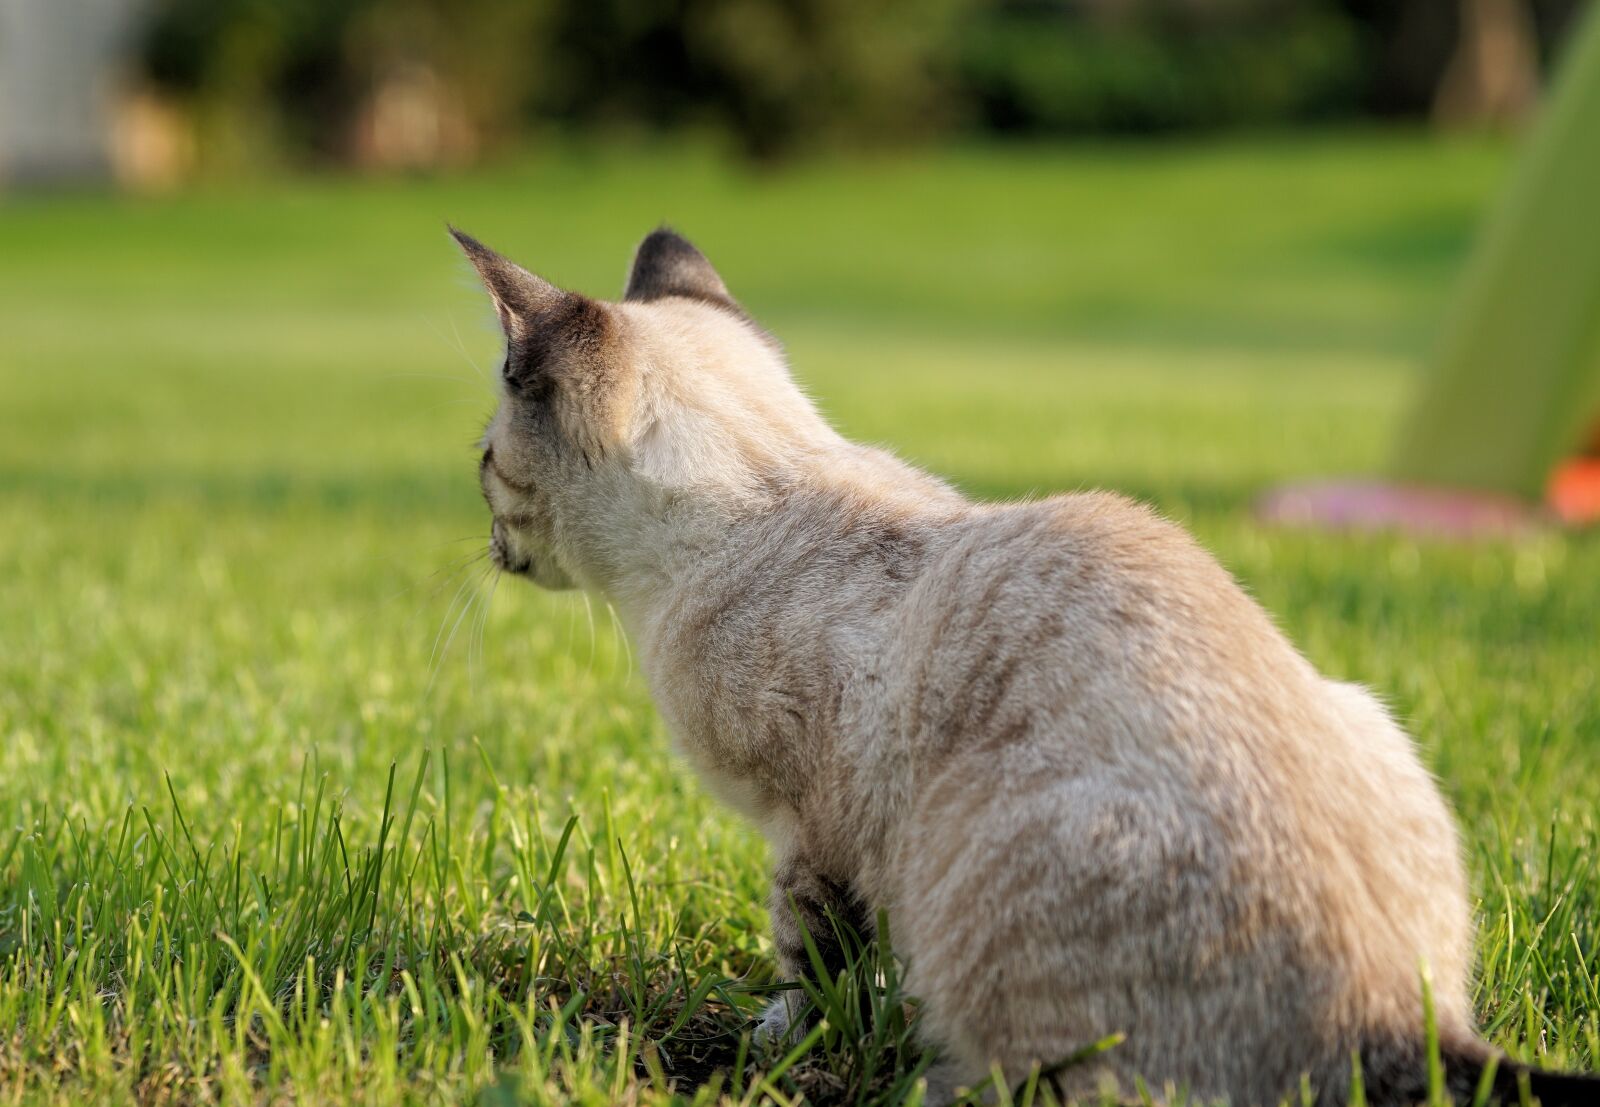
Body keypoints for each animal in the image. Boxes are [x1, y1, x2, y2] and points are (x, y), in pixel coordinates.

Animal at [454, 227, 1600, 1107]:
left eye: (482, 464)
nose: (490, 546)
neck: (760, 498)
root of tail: (1396, 1016)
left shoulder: (807, 830)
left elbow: (809, 968)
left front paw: (775, 1048)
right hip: (1372, 718)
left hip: (981, 859)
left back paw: (933, 1080)